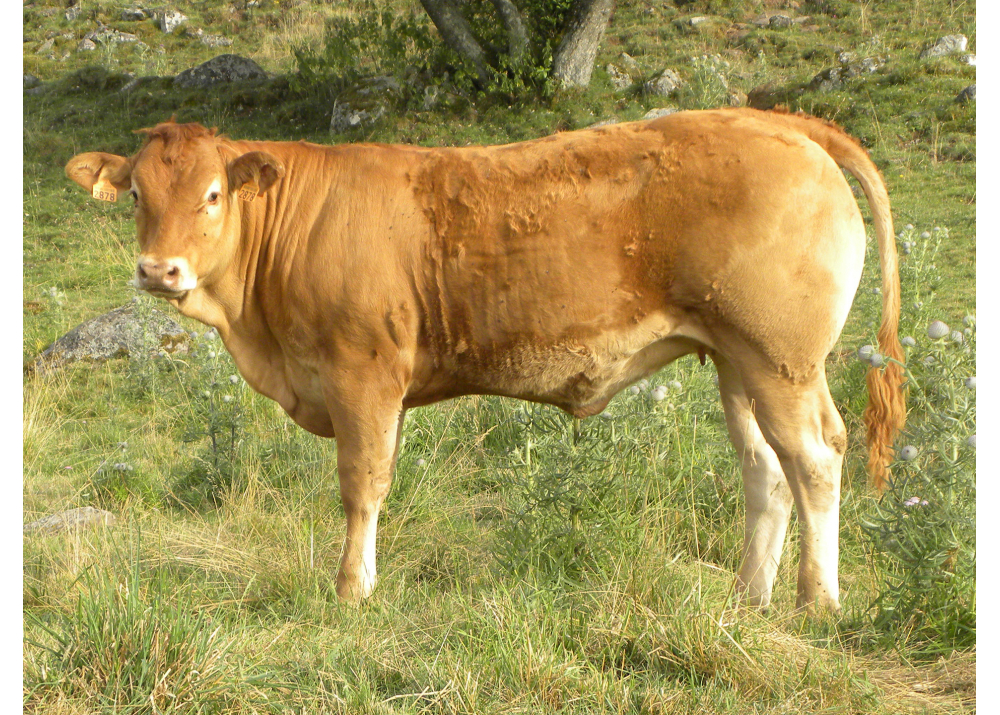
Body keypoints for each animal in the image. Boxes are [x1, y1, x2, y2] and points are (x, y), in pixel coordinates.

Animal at [64, 109, 908, 612]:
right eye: (136, 193)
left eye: (212, 194)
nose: (158, 270)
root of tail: (772, 119)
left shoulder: (363, 371)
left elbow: (362, 486)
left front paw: (351, 588)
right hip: (736, 359)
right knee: (766, 469)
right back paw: (747, 596)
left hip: (781, 359)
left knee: (815, 459)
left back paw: (817, 599)